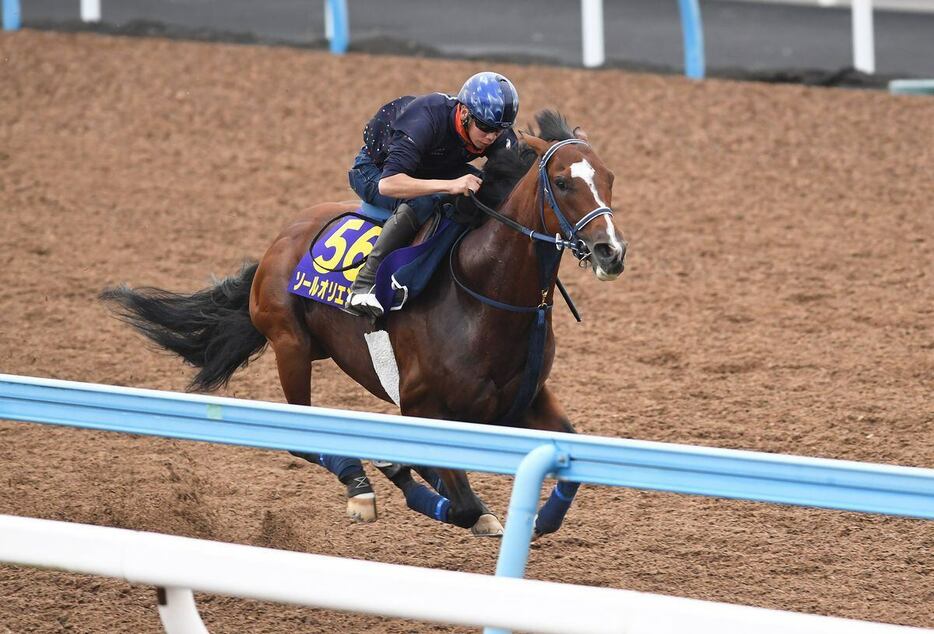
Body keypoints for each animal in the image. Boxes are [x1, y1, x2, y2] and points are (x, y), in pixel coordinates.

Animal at [102, 111, 628, 536]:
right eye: (562, 182)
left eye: (609, 177)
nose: (611, 252)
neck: (484, 296)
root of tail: (281, 238)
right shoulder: (422, 405)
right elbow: (459, 504)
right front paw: (419, 486)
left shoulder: (524, 400)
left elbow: (571, 455)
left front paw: (538, 518)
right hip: (290, 344)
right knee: (301, 436)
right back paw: (360, 485)